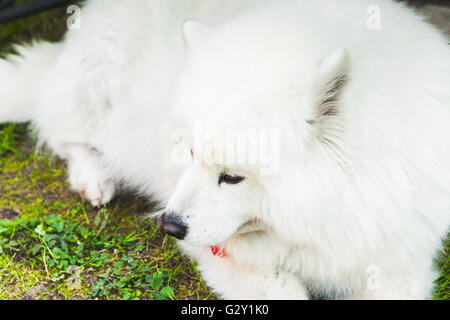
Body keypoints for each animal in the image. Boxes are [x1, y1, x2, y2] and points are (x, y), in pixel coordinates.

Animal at [0, 0, 450, 300]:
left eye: (232, 177)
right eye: (188, 154)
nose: (169, 226)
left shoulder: (397, 258)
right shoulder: (237, 263)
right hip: (94, 90)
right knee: (65, 134)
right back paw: (94, 179)